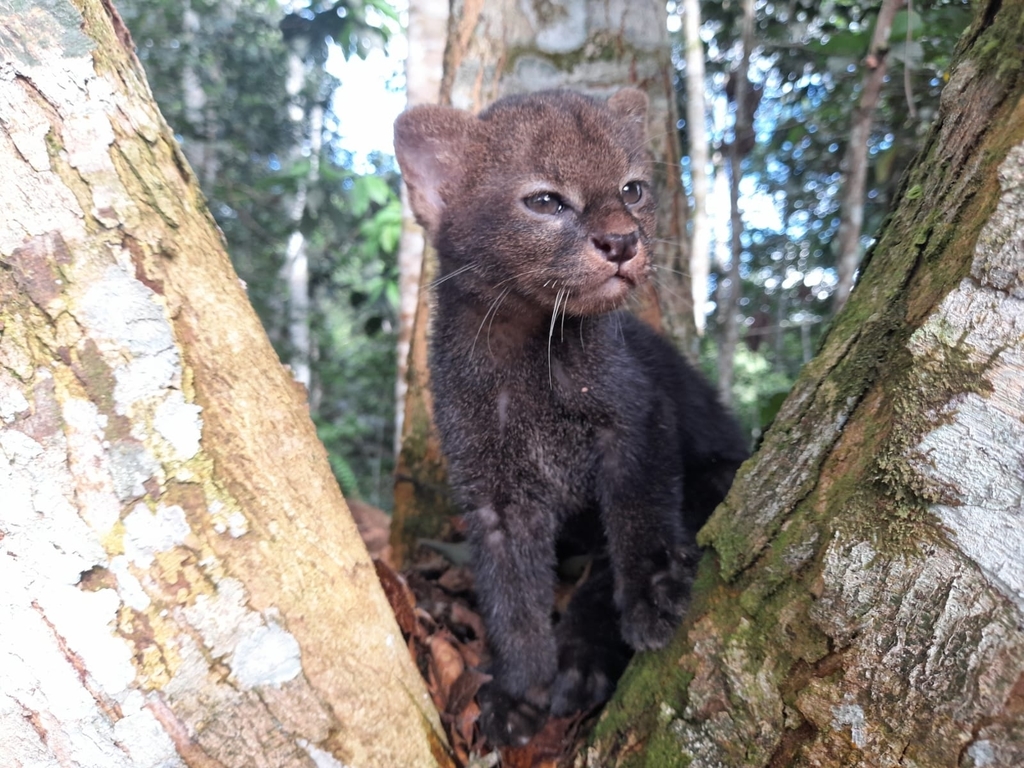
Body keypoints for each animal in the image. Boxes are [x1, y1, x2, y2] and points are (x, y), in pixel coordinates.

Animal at [395, 88, 749, 745]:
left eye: (632, 190)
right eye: (544, 201)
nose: (622, 242)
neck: (526, 355)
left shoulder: (636, 420)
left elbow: (639, 517)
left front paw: (652, 596)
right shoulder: (494, 493)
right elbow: (510, 598)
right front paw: (520, 691)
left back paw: (586, 660)